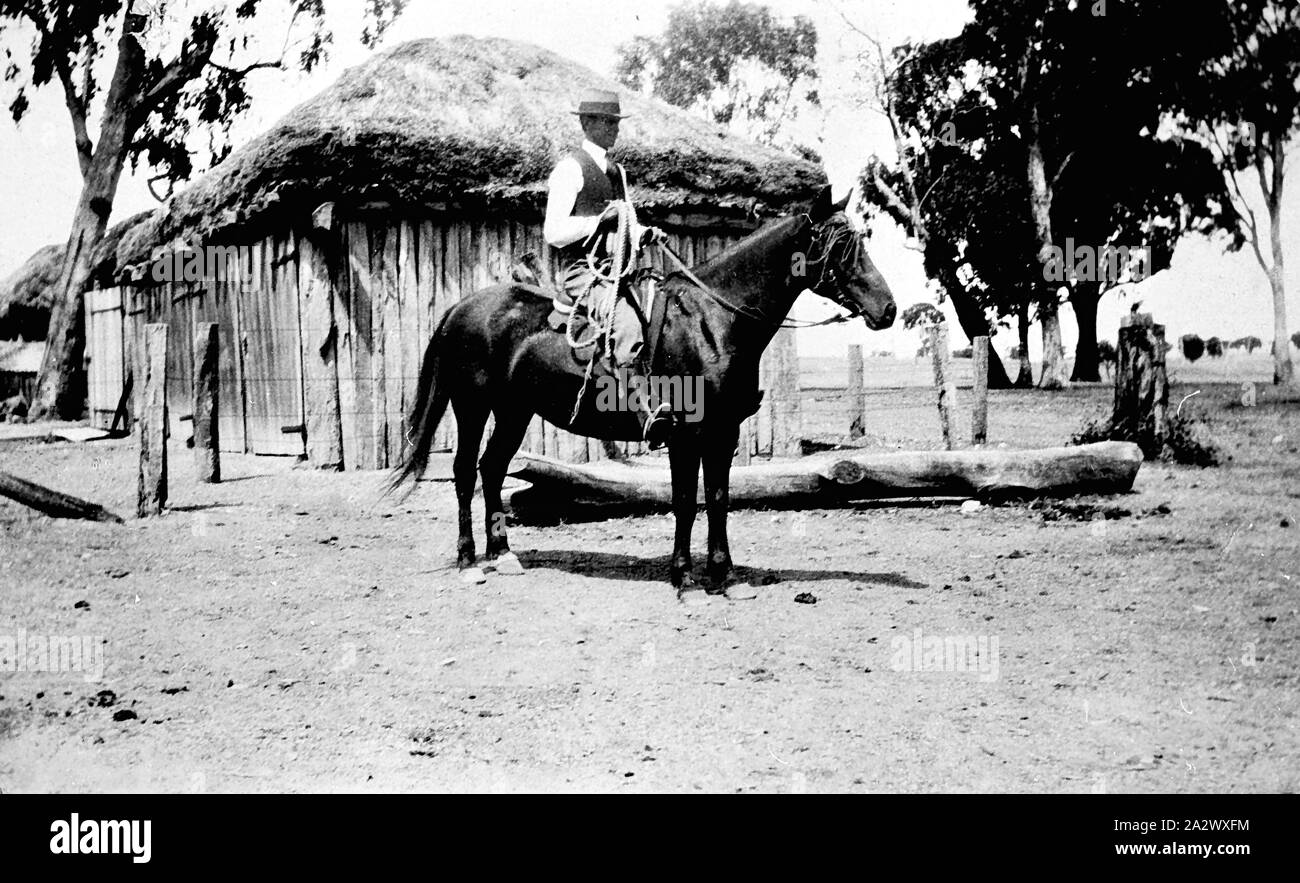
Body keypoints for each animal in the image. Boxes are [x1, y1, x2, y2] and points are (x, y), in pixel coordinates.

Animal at [384, 185, 894, 600]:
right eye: (842, 245)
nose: (887, 309)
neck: (712, 321)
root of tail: (461, 308)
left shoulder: (723, 433)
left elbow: (719, 499)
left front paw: (725, 578)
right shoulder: (685, 434)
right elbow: (686, 501)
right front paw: (685, 579)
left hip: (515, 411)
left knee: (492, 469)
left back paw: (502, 554)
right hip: (472, 406)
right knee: (465, 472)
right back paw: (469, 560)